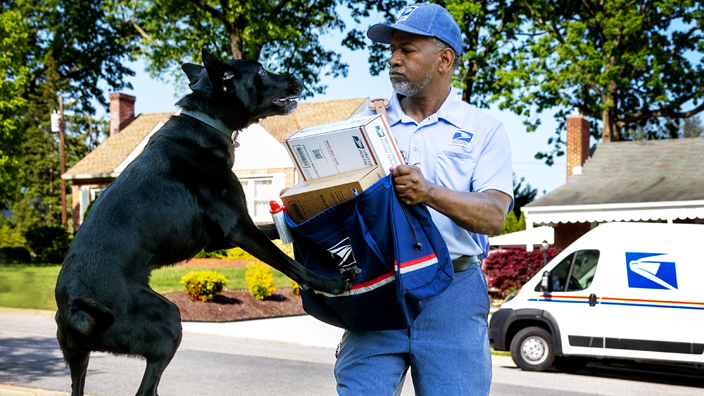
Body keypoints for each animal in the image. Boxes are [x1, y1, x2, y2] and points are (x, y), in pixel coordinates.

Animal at [55, 50, 354, 396]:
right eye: (262, 71)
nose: (298, 78)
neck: (206, 122)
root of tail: (73, 310)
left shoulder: (218, 239)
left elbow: (284, 233)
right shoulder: (238, 228)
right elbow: (289, 264)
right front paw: (331, 284)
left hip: (79, 360)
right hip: (167, 320)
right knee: (145, 389)